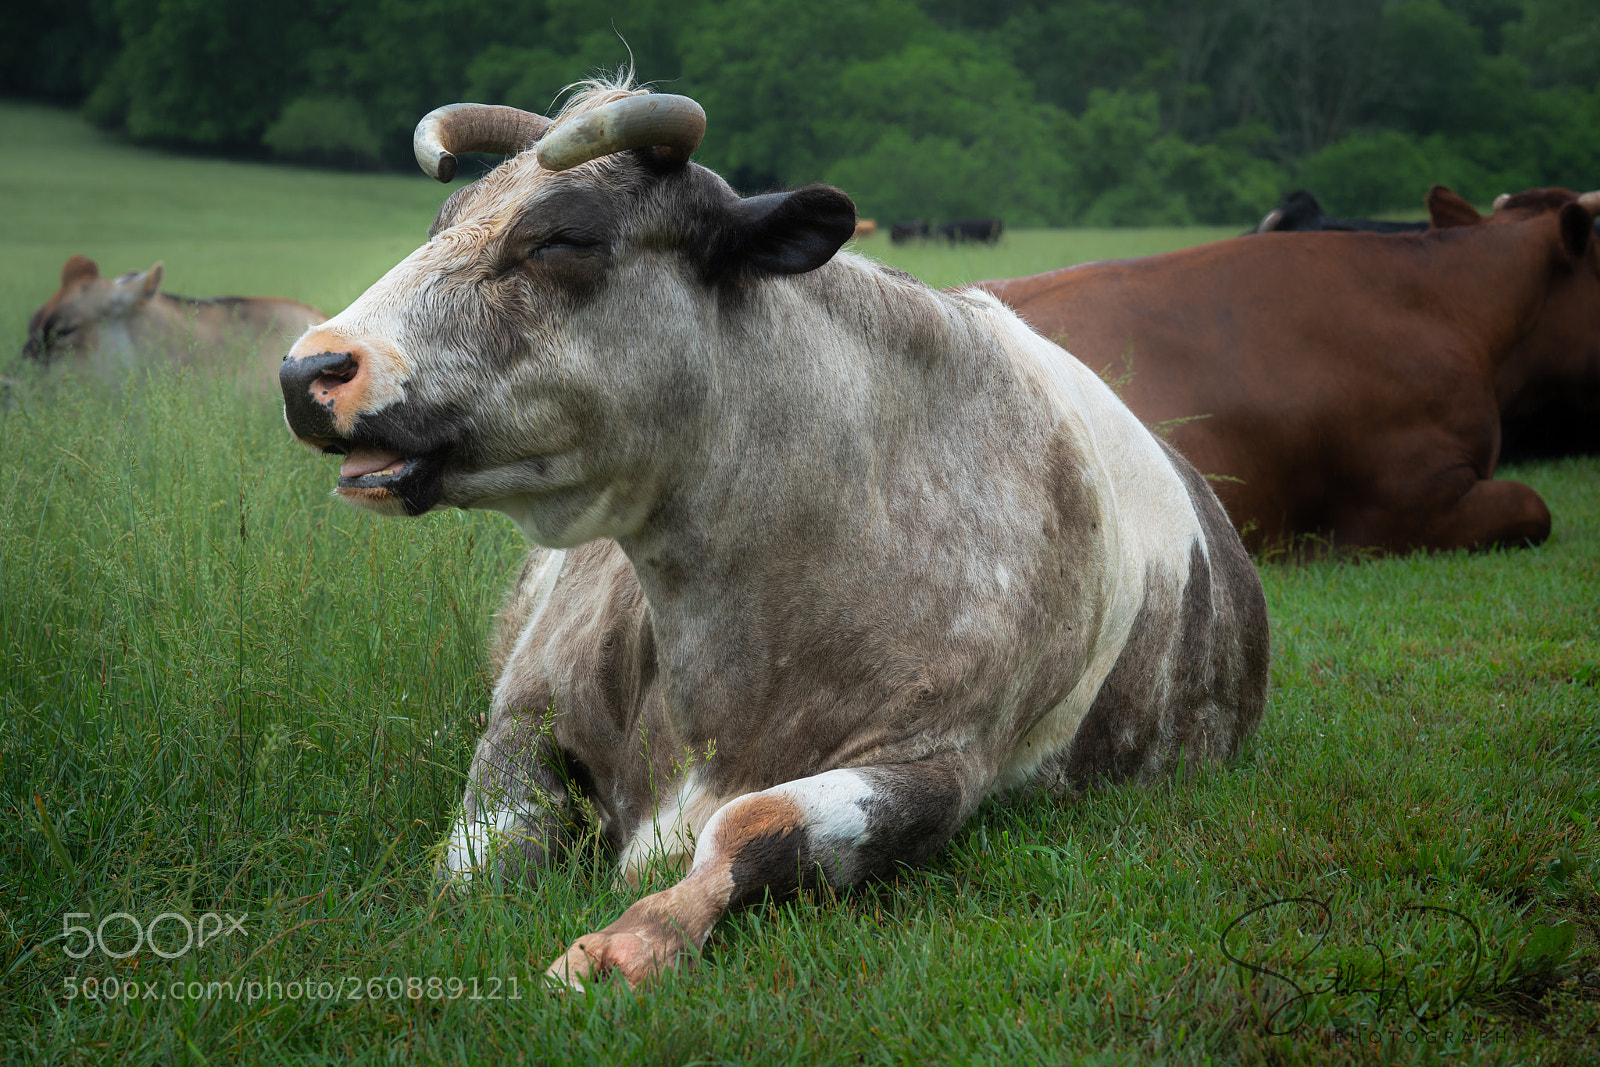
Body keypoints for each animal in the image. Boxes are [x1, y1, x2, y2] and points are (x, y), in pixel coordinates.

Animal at [277, 80, 1270, 991]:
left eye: (563, 238)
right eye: (442, 222)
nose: (307, 369)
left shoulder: (939, 763)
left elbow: (756, 826)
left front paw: (634, 939)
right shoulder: (525, 711)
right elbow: (474, 863)